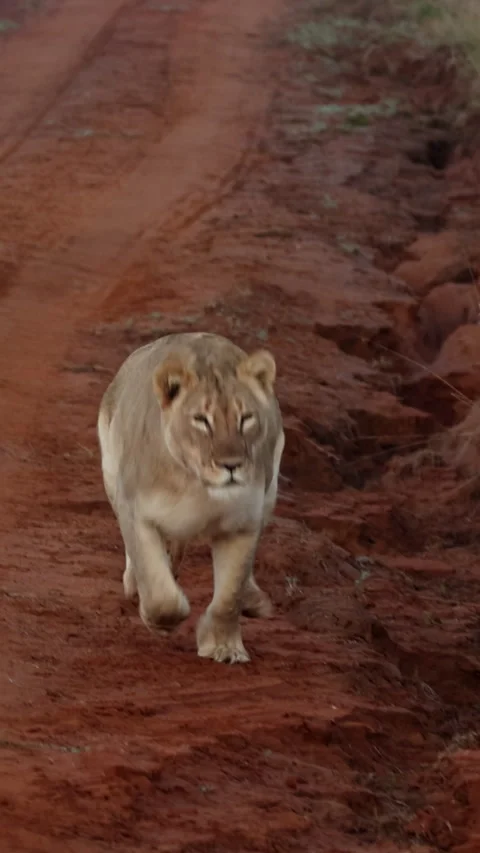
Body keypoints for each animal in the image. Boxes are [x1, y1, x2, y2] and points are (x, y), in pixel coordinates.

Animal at [97, 332, 285, 664]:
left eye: (246, 418)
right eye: (201, 420)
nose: (231, 464)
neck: (198, 486)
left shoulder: (244, 524)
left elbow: (229, 595)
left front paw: (224, 647)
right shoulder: (135, 511)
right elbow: (159, 591)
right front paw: (161, 620)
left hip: (270, 491)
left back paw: (255, 600)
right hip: (111, 475)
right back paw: (134, 586)